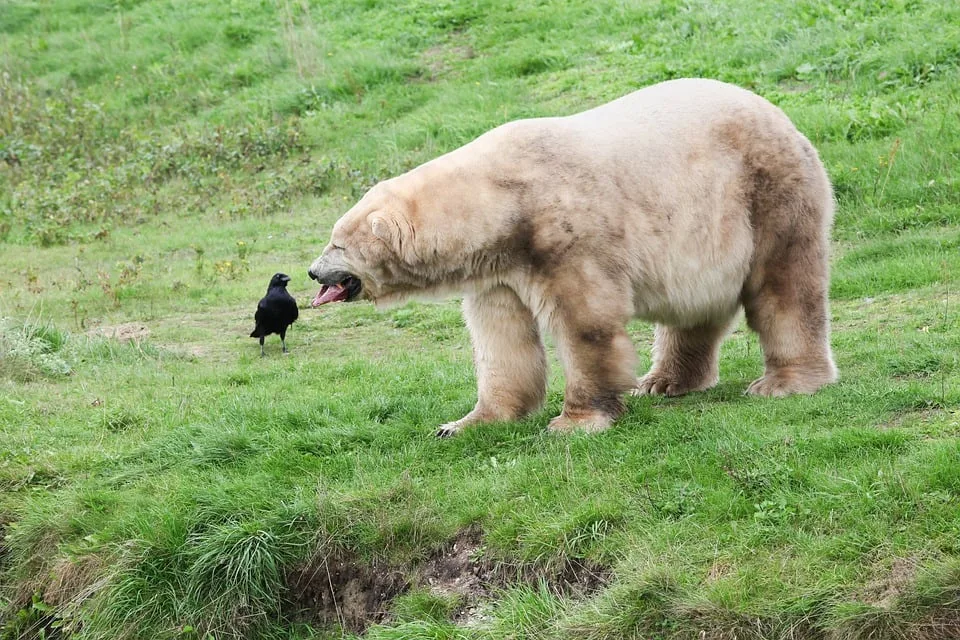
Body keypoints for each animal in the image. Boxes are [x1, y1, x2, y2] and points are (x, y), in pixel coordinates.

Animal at [310, 76, 840, 436]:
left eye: (337, 243)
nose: (313, 272)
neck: (502, 201)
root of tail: (783, 117)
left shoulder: (565, 235)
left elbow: (587, 322)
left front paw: (576, 421)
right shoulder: (497, 268)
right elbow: (501, 340)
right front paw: (464, 422)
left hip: (765, 193)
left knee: (784, 286)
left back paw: (786, 382)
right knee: (695, 308)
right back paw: (663, 382)